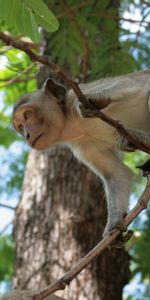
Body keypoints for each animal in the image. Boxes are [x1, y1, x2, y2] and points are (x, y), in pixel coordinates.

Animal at [12, 70, 150, 237]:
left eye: (27, 114)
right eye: (20, 126)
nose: (26, 135)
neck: (72, 122)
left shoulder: (77, 97)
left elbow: (136, 84)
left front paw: (99, 98)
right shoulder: (83, 145)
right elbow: (117, 173)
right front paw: (114, 227)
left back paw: (142, 137)